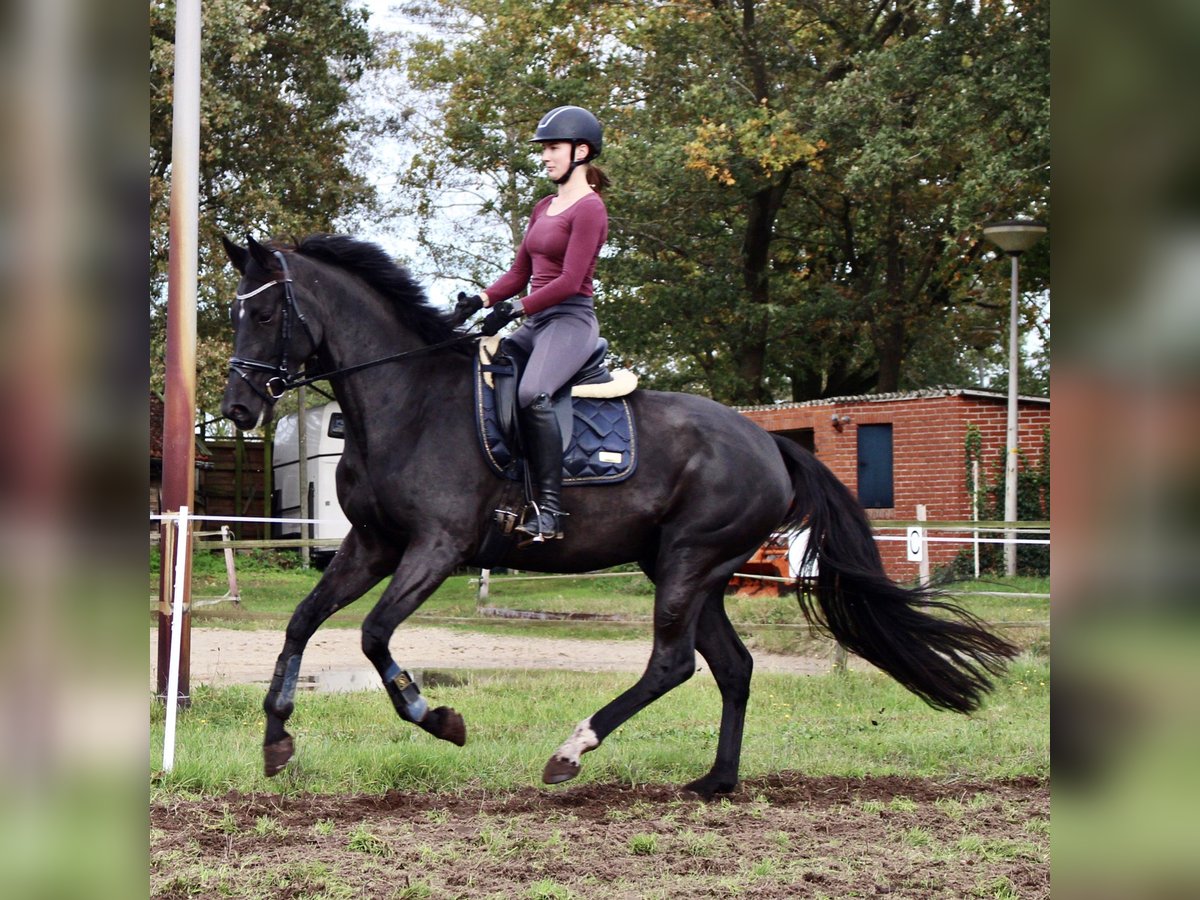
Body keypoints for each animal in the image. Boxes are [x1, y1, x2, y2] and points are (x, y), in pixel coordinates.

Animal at [220, 232, 1017, 796]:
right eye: (236, 313)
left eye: (265, 312)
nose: (236, 409)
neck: (404, 400)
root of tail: (770, 442)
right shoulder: (373, 545)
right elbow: (302, 621)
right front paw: (276, 740)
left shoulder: (435, 548)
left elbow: (374, 634)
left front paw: (439, 720)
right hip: (690, 569)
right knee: (731, 666)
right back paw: (716, 781)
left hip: (691, 561)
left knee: (672, 664)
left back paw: (571, 751)